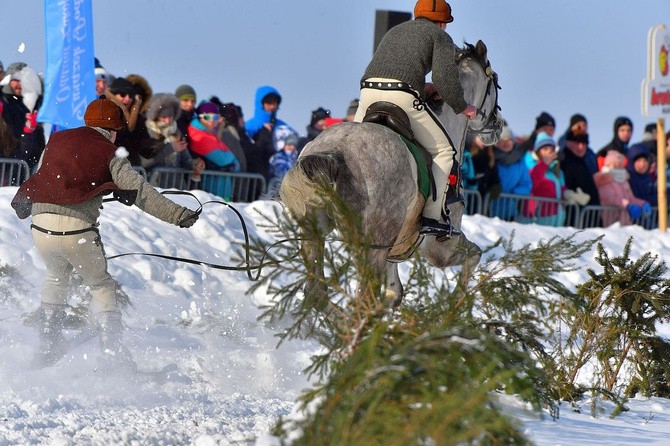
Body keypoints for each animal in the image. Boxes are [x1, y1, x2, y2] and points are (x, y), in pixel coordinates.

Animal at [280, 41, 504, 306]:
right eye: (496, 84)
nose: (498, 126)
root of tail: (334, 153)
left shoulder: (393, 254)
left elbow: (393, 294)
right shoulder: (440, 248)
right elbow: (474, 255)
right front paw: (456, 304)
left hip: (314, 232)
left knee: (317, 293)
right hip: (371, 248)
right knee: (361, 301)